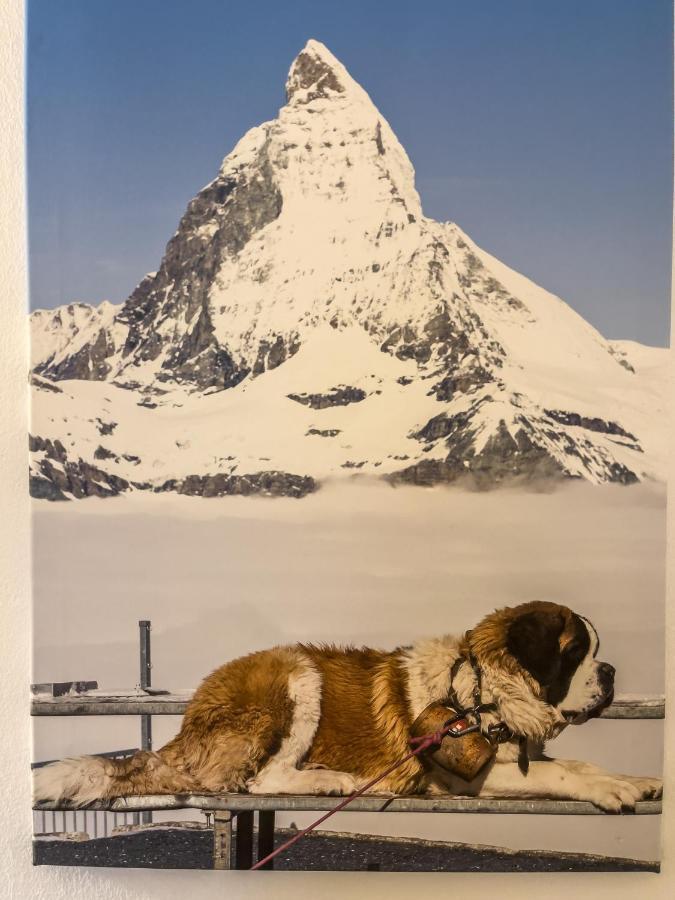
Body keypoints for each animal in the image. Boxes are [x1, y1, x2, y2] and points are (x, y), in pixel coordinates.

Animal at [34, 600, 664, 812]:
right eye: (576, 652)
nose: (610, 672)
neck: (483, 693)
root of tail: (185, 728)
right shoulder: (461, 777)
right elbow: (564, 774)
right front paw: (609, 790)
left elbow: (578, 763)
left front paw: (634, 779)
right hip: (295, 675)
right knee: (260, 780)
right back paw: (331, 779)